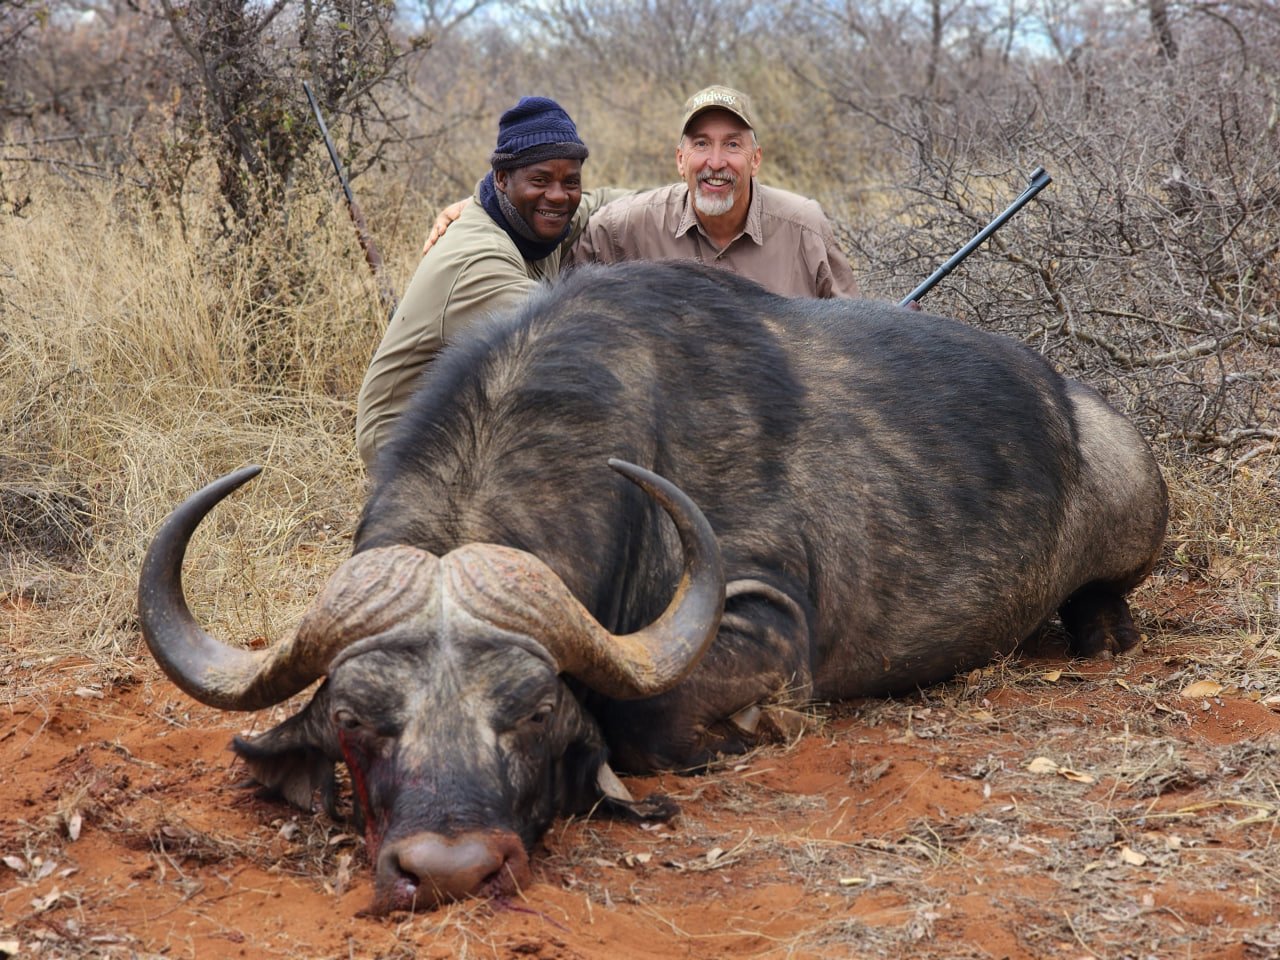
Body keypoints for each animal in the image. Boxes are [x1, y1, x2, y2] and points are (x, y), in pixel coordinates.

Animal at [140, 261, 1172, 916]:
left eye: (533, 713)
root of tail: (1082, 408)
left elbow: (648, 720)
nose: (451, 870)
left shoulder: (764, 624)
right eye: (357, 720)